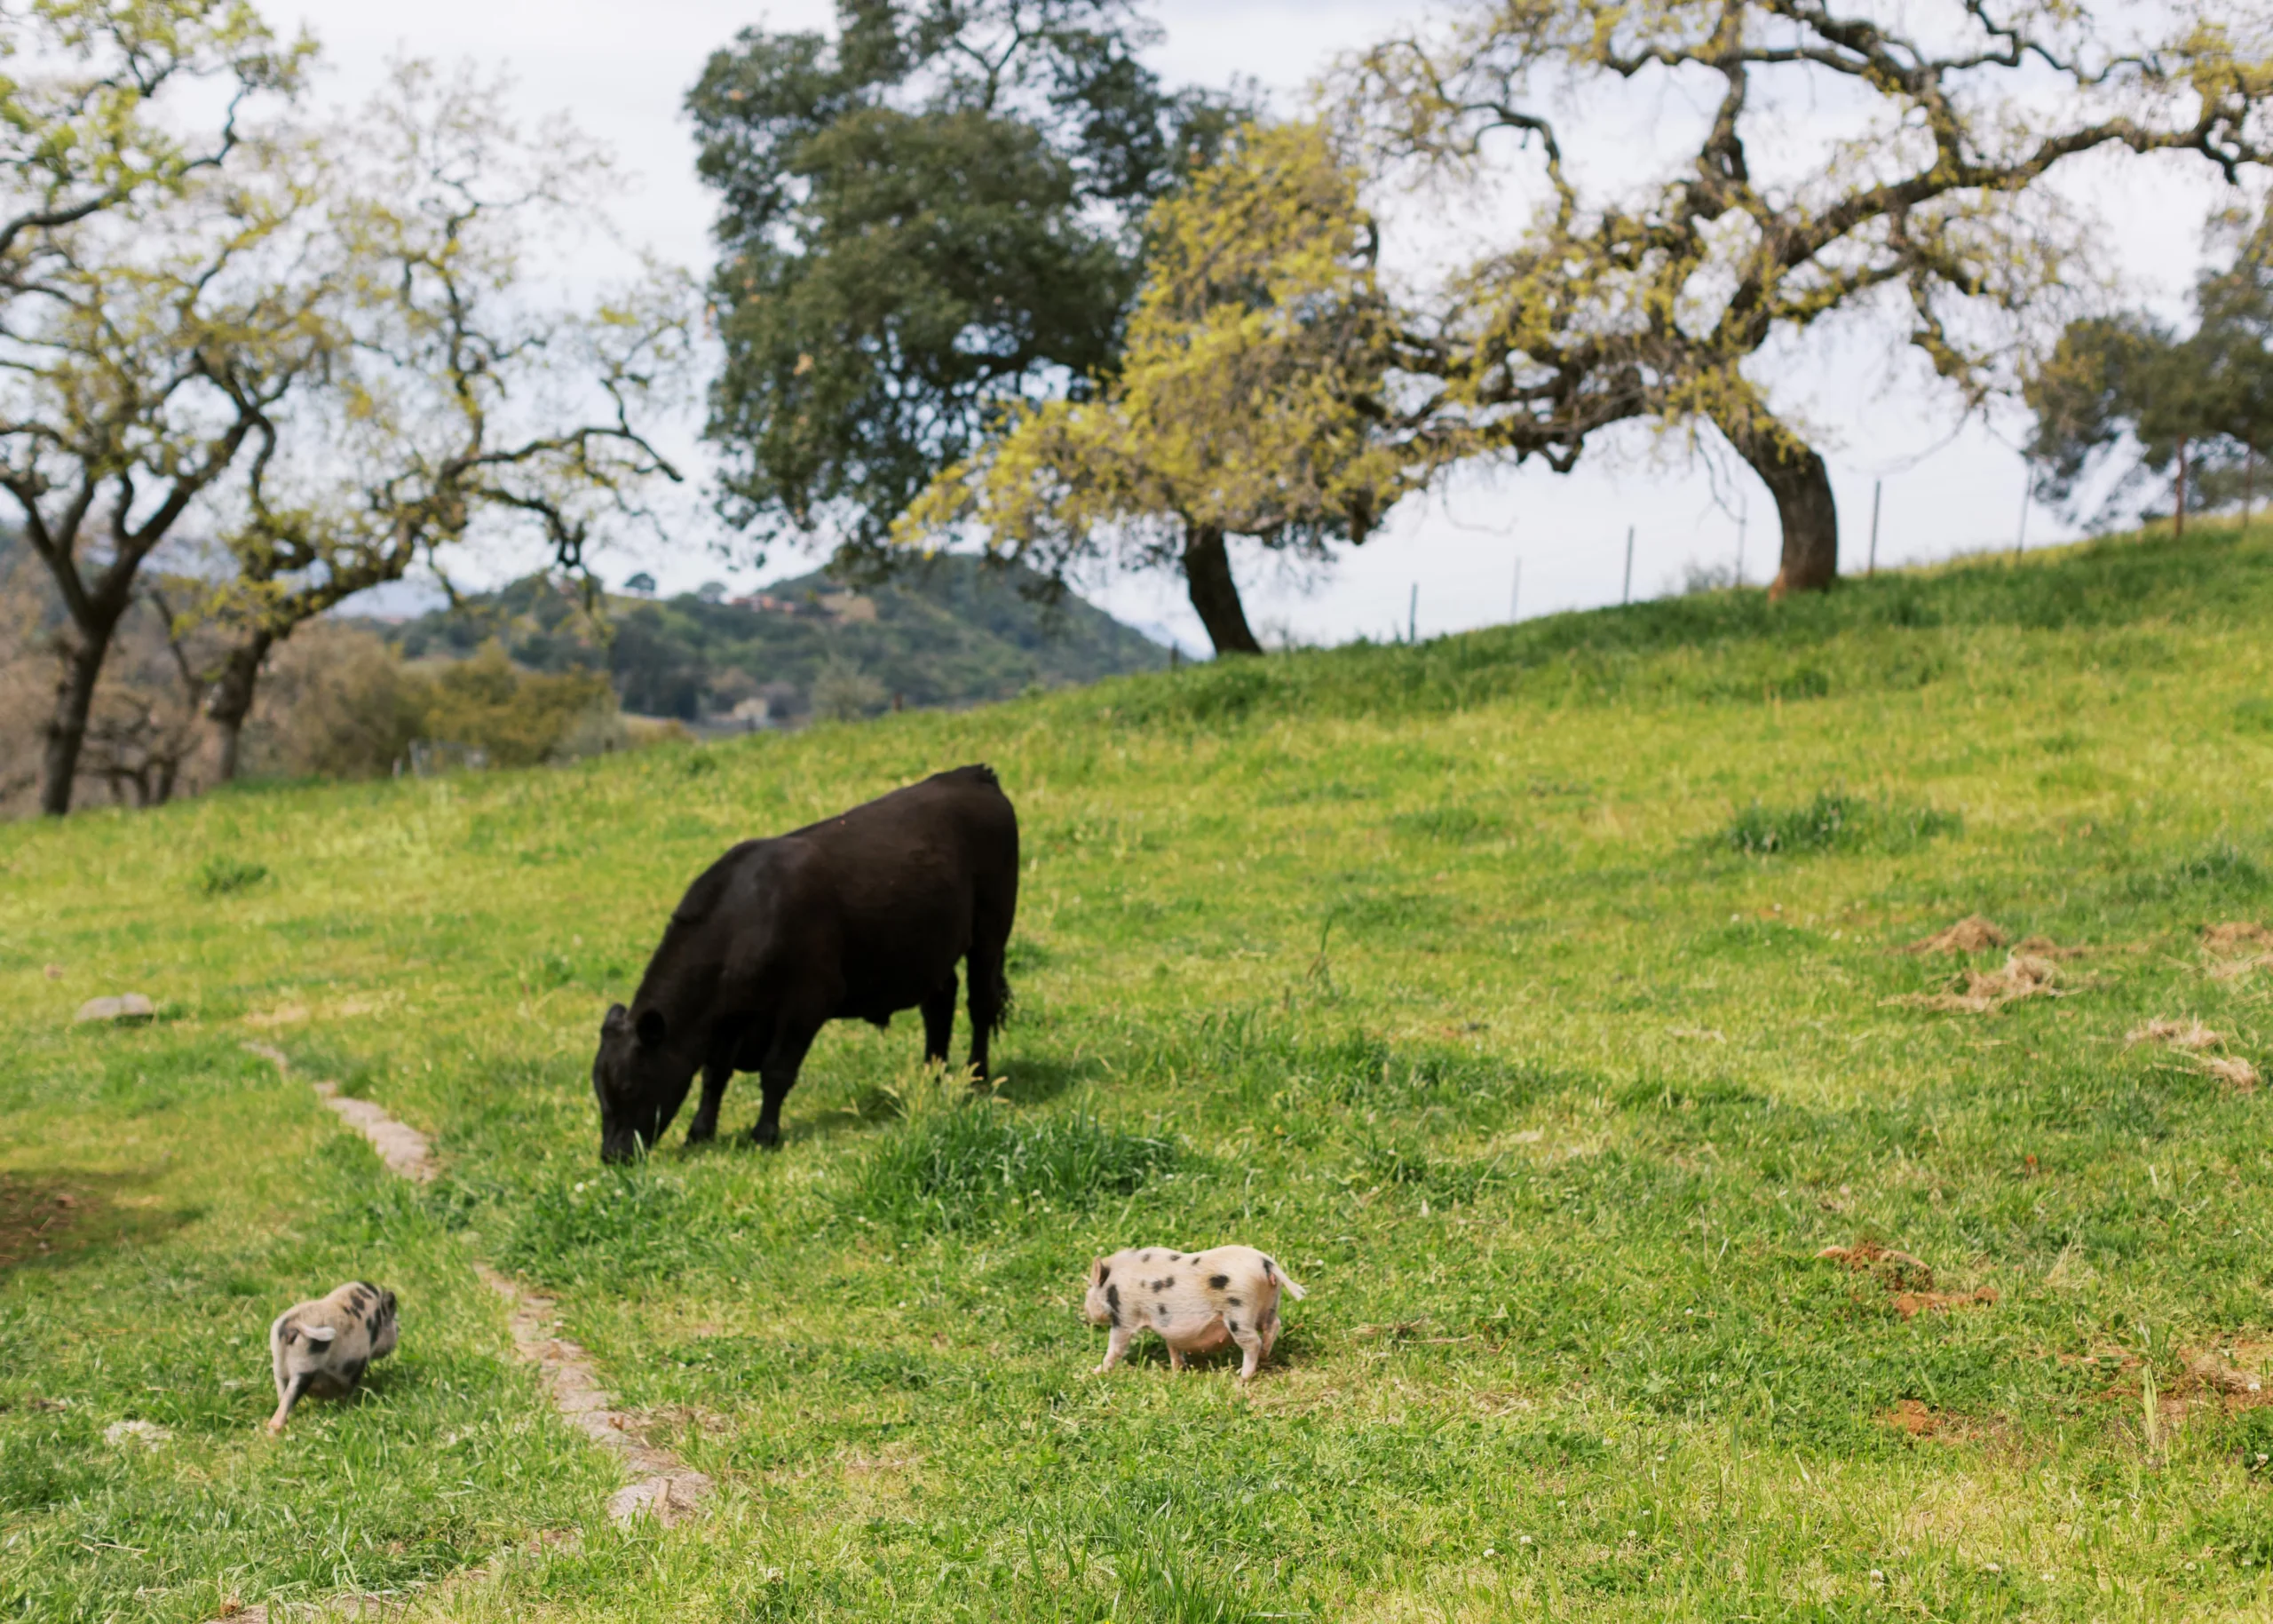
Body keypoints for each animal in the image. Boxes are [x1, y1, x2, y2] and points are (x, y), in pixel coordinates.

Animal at [592, 764, 1018, 1162]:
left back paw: (977, 1078)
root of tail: (973, 775)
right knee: (940, 1005)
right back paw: (931, 1078)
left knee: (980, 1004)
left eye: (630, 1086)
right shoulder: (730, 1017)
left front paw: (764, 1133)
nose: (612, 1155)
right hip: (930, 949)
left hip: (991, 928)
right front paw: (699, 1132)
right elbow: (715, 1074)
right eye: (599, 1089)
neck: (746, 917)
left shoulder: (808, 1000)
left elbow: (776, 1071)